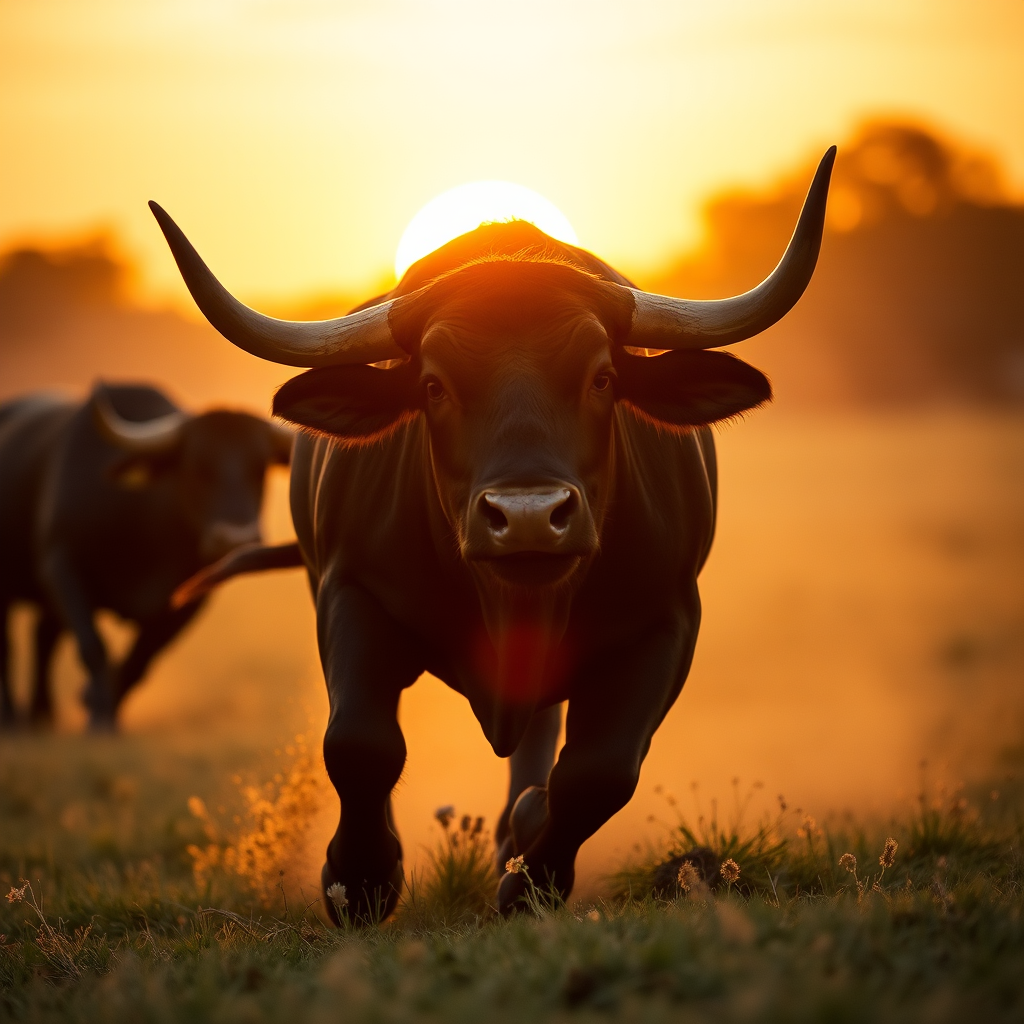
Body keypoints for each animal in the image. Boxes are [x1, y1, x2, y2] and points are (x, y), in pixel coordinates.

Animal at [0, 384, 292, 730]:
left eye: (260, 468)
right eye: (197, 466)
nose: (237, 538)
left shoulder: (187, 600)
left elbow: (140, 660)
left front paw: (101, 707)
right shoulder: (60, 567)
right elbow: (92, 646)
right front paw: (99, 719)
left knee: (42, 637)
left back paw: (41, 714)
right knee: (10, 646)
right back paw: (13, 718)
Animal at [153, 148, 835, 921]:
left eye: (603, 377)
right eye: (433, 385)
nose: (530, 515)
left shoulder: (667, 623)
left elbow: (600, 772)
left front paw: (530, 880)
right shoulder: (349, 593)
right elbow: (360, 744)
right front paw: (360, 879)